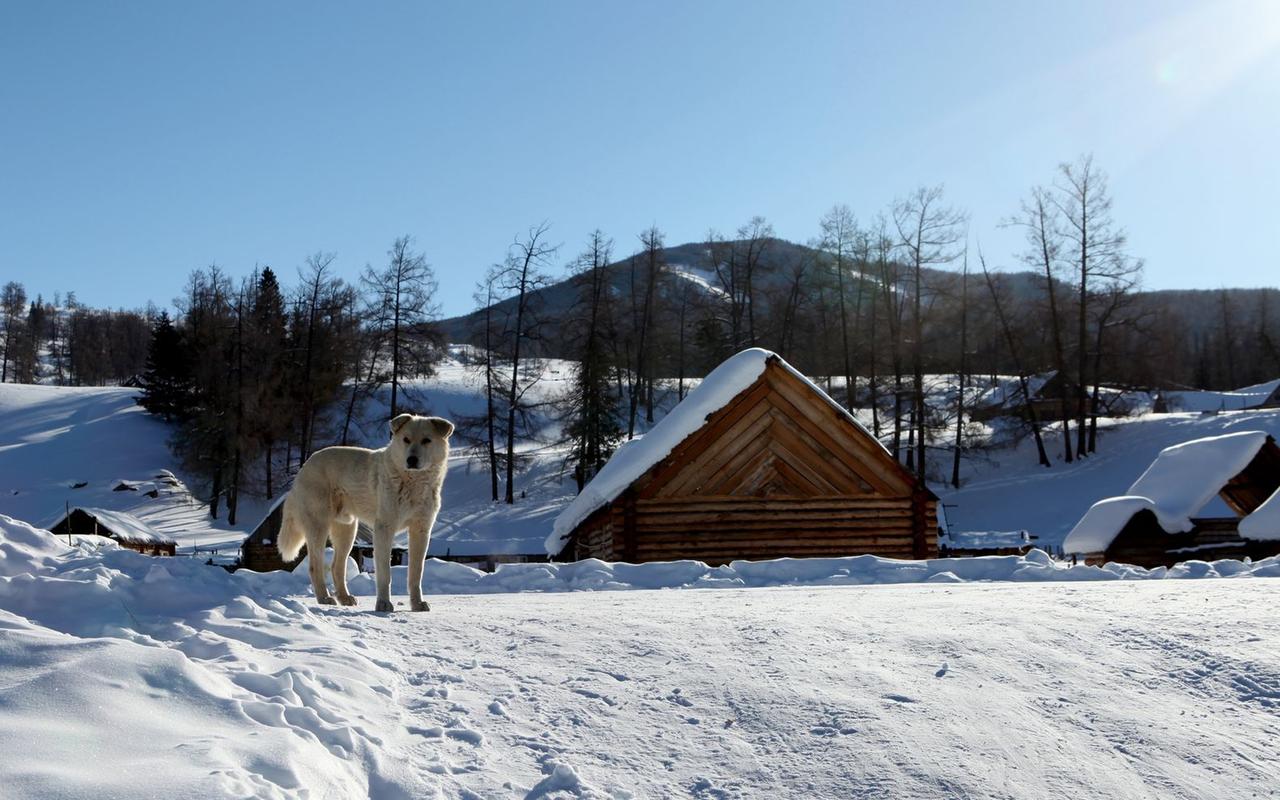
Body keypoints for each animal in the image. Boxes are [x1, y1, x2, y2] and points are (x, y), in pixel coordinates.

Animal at [277, 412, 453, 611]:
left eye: (426, 440)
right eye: (406, 439)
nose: (411, 460)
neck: (413, 482)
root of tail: (303, 468)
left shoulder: (421, 529)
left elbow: (416, 574)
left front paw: (417, 604)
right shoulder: (384, 528)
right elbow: (385, 574)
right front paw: (383, 604)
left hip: (347, 530)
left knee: (337, 567)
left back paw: (345, 598)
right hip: (319, 527)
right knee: (316, 566)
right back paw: (325, 598)